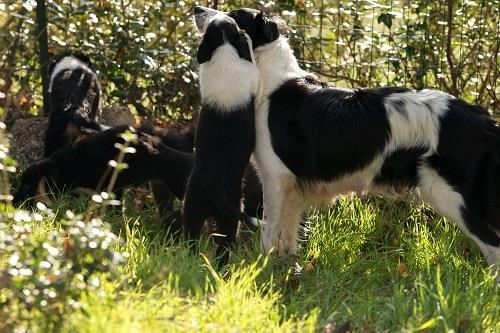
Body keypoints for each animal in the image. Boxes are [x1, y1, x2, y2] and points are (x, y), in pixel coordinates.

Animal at [184, 13, 262, 262]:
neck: (223, 47)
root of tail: (214, 190)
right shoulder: (253, 76)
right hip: (230, 218)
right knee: (225, 245)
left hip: (192, 209)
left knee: (190, 239)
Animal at [194, 6, 500, 270]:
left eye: (234, 16)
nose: (197, 9)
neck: (271, 81)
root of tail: (483, 119)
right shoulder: (293, 187)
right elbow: (288, 236)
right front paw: (289, 270)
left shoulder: (276, 177)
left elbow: (269, 232)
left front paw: (262, 268)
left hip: (452, 196)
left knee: (493, 245)